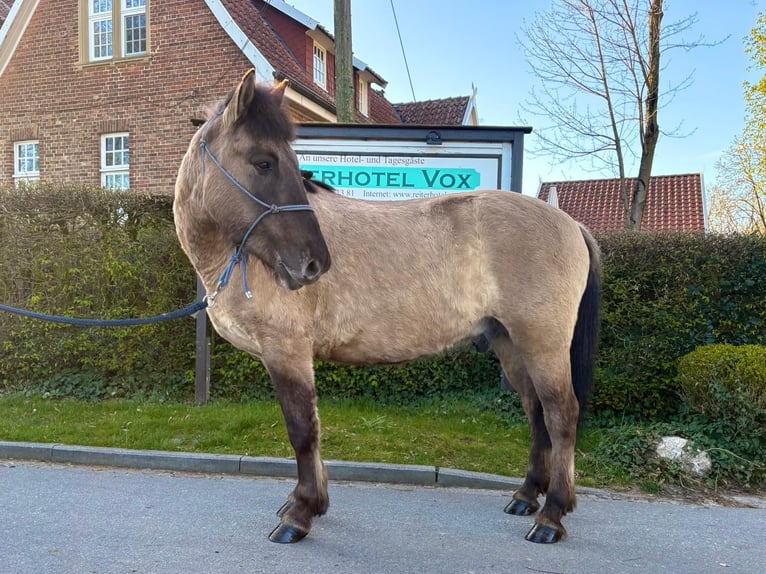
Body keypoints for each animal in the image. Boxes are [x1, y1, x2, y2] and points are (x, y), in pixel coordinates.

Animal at [173, 69, 601, 546]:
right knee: (536, 413)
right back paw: (526, 497)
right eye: (264, 162)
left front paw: (300, 514)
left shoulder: (287, 351)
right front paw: (309, 503)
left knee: (561, 415)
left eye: (287, 164)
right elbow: (312, 428)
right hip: (511, 345)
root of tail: (570, 223)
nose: (313, 263)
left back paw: (552, 516)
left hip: (543, 345)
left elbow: (303, 429)